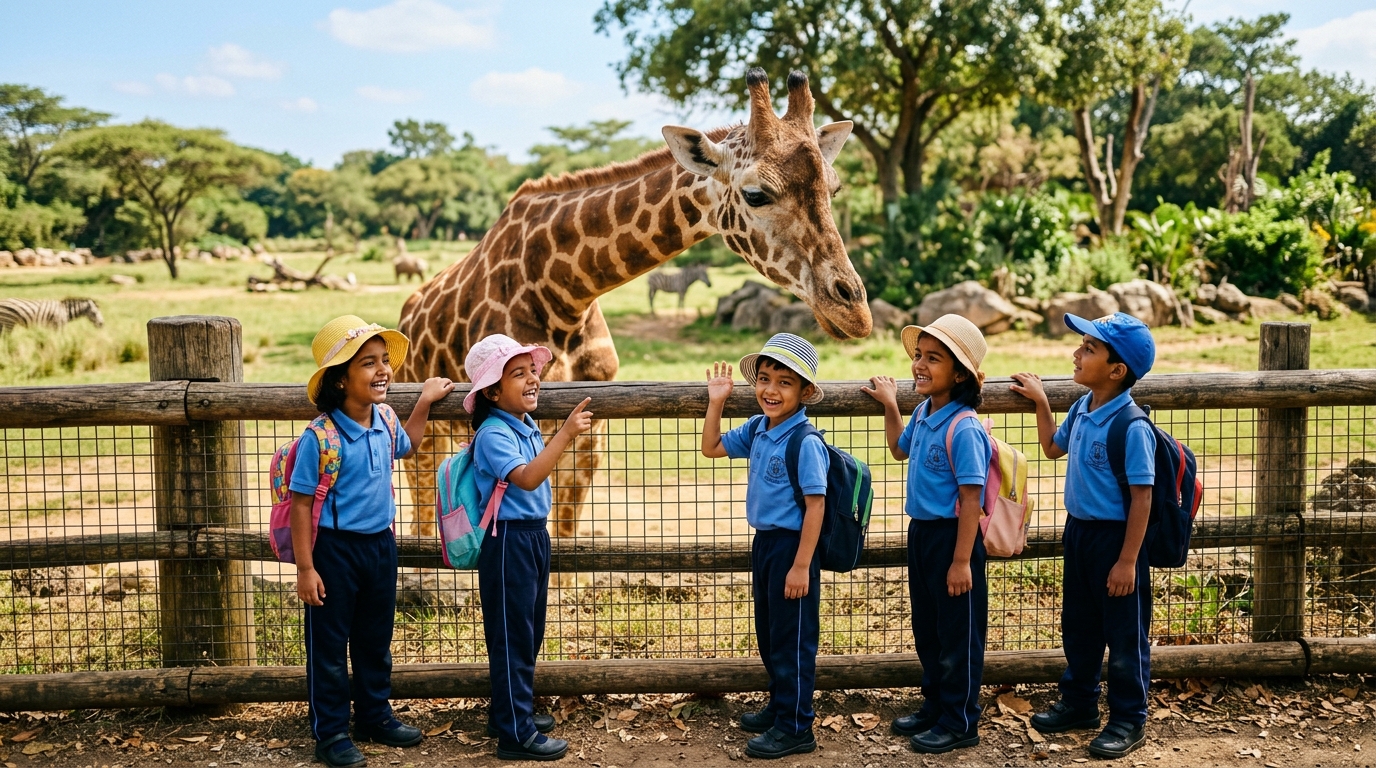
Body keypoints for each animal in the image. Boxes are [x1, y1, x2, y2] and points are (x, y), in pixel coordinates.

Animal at [397, 68, 872, 537]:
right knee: (422, 519)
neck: (564, 293)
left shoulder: (589, 435)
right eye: (756, 194)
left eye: (835, 188)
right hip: (425, 434)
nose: (855, 311)